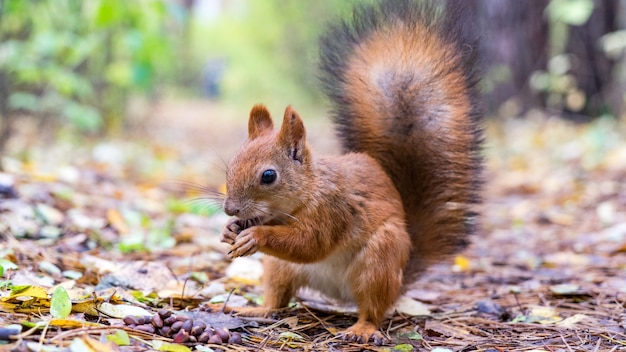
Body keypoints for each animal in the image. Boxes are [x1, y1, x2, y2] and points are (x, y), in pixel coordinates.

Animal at [217, 0, 480, 346]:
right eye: (231, 164)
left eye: (269, 176)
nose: (230, 209)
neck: (305, 195)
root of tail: (340, 295)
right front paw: (230, 230)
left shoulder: (332, 210)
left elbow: (310, 243)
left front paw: (255, 235)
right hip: (279, 267)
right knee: (278, 297)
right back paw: (257, 309)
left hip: (379, 261)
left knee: (372, 308)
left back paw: (362, 329)